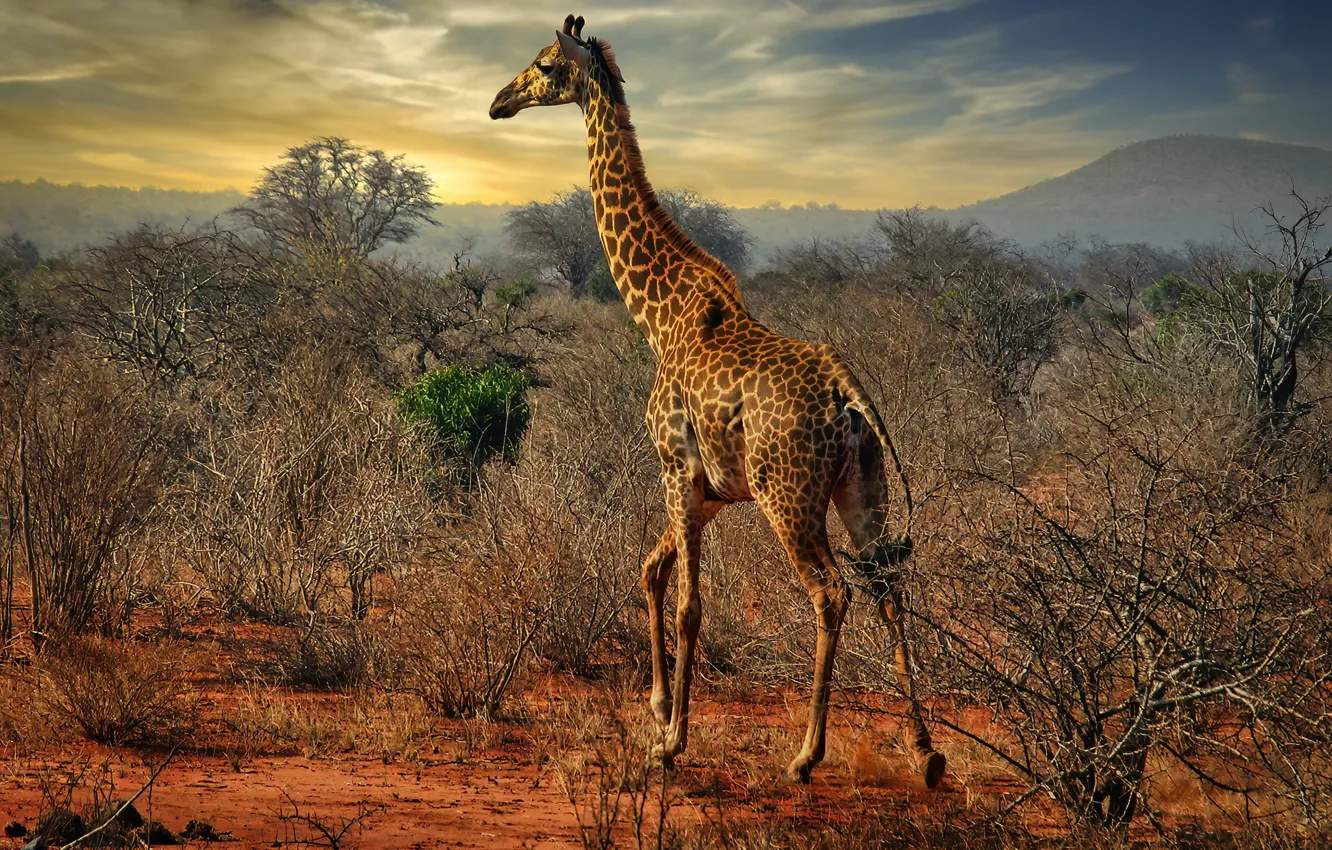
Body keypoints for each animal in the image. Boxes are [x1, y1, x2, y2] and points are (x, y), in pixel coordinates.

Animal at [490, 14, 946, 788]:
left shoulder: (675, 468)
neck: (658, 312)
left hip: (789, 497)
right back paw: (926, 752)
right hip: (864, 488)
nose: (498, 102)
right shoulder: (706, 491)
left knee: (833, 593)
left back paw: (805, 754)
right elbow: (651, 572)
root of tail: (848, 395)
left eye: (545, 65)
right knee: (887, 587)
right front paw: (655, 708)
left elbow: (689, 604)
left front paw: (671, 740)